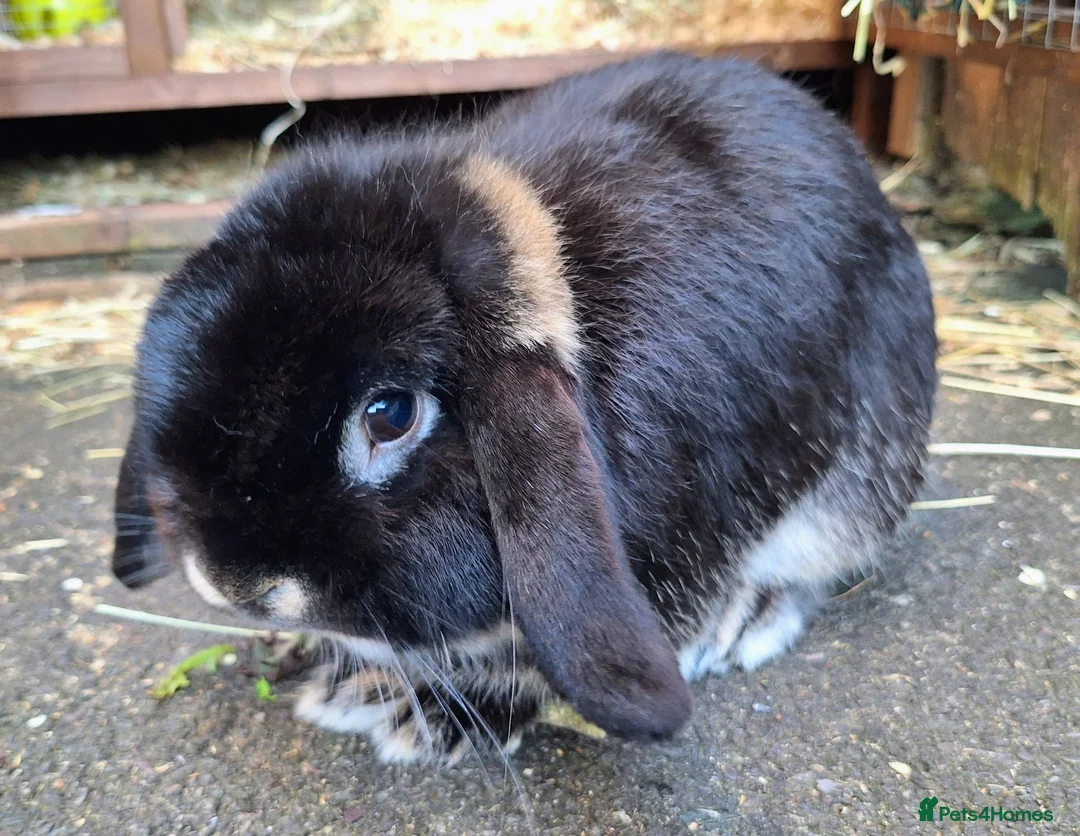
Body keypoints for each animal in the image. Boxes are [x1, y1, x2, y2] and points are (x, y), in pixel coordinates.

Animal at [112, 53, 937, 764]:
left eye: (390, 415)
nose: (231, 583)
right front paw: (355, 684)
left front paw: (427, 718)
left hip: (850, 495)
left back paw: (750, 624)